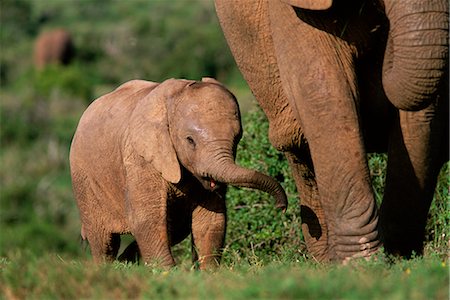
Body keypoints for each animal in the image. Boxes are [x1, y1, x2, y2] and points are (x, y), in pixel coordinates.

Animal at [70, 78, 288, 270]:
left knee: (174, 228)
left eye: (237, 138)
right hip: (83, 181)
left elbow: (211, 219)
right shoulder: (140, 158)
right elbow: (147, 219)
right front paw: (167, 273)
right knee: (104, 241)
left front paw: (208, 274)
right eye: (190, 141)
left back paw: (126, 262)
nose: (281, 207)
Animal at [216, 0, 448, 262]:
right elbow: (321, 86)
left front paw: (399, 258)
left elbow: (424, 112)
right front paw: (360, 264)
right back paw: (326, 261)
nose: (386, 47)